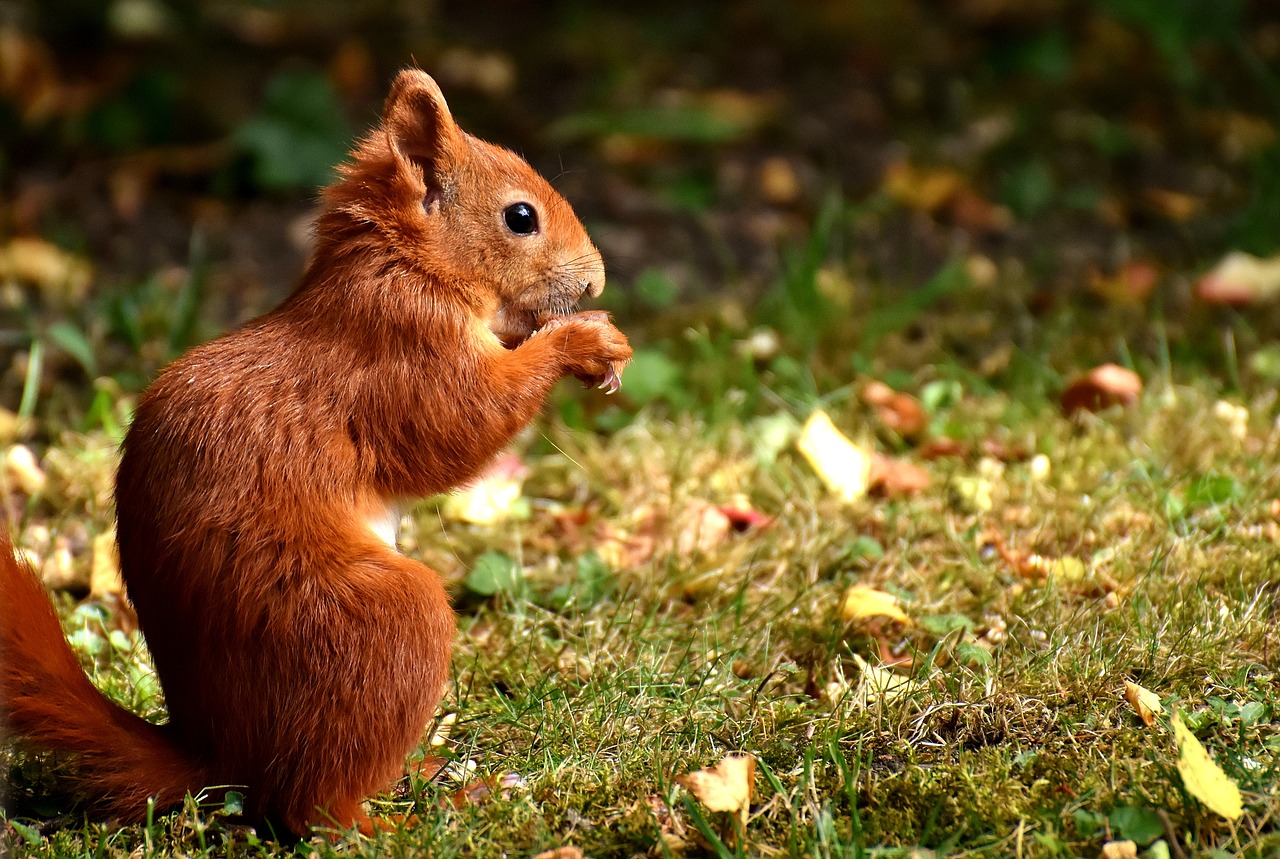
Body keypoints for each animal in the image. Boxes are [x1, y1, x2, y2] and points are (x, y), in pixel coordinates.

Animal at [0, 70, 629, 834]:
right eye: (519, 217)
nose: (597, 282)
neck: (405, 266)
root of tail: (222, 757)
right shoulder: (402, 354)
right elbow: (460, 426)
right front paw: (583, 341)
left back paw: (425, 776)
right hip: (372, 624)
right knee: (311, 810)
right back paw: (407, 818)